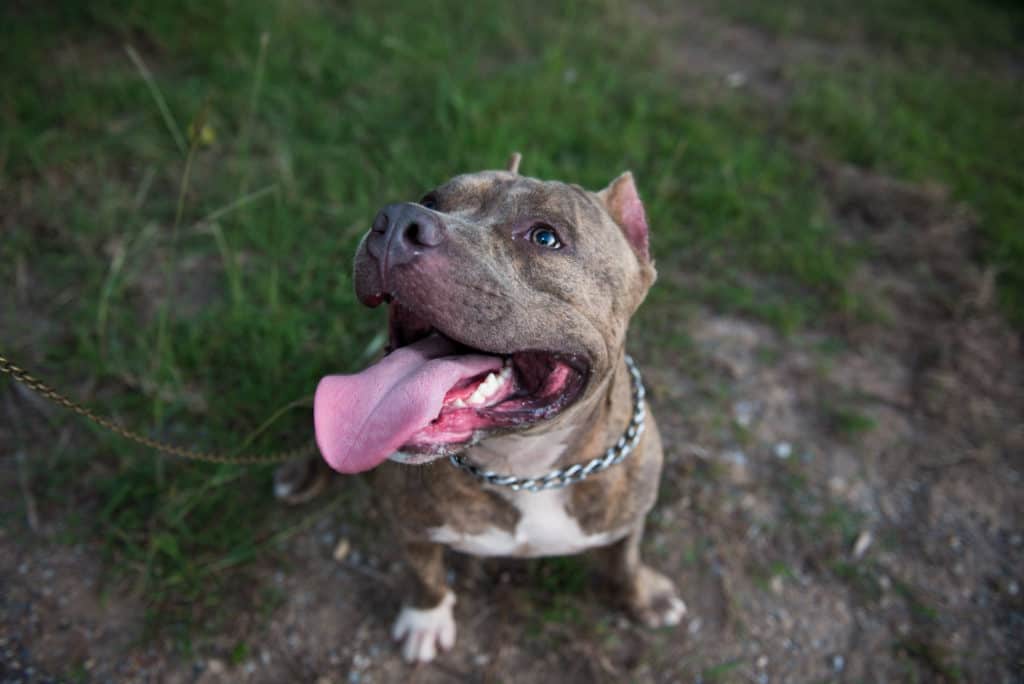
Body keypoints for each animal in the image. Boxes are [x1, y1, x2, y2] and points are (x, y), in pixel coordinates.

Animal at [307, 153, 684, 663]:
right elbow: (425, 575)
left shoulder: (631, 514)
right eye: (431, 200)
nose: (398, 220)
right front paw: (426, 617)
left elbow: (625, 558)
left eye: (545, 237)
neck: (524, 468)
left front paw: (643, 596)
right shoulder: (408, 523)